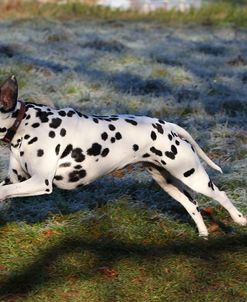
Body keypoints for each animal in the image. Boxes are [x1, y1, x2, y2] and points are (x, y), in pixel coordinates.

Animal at [0, 75, 247, 236]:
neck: (25, 123)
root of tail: (167, 125)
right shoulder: (15, 179)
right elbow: (5, 188)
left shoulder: (40, 181)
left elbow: (3, 191)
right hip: (168, 182)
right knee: (192, 205)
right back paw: (203, 233)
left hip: (193, 177)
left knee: (221, 195)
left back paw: (239, 219)